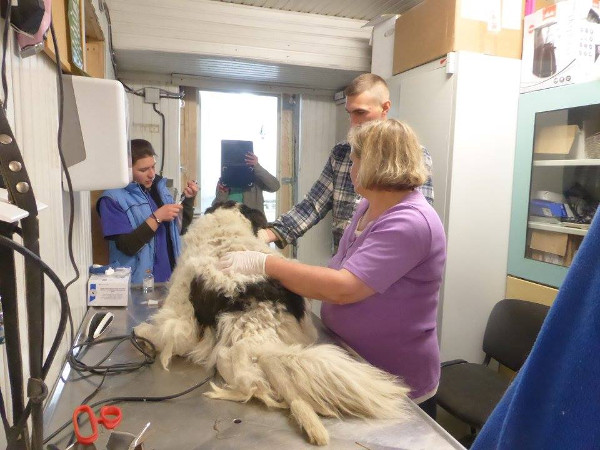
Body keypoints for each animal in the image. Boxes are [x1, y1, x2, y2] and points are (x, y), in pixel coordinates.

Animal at [135, 201, 410, 446]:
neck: (225, 230)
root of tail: (261, 322)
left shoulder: (181, 315)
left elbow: (162, 331)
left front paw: (142, 333)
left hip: (227, 354)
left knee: (253, 387)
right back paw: (314, 424)